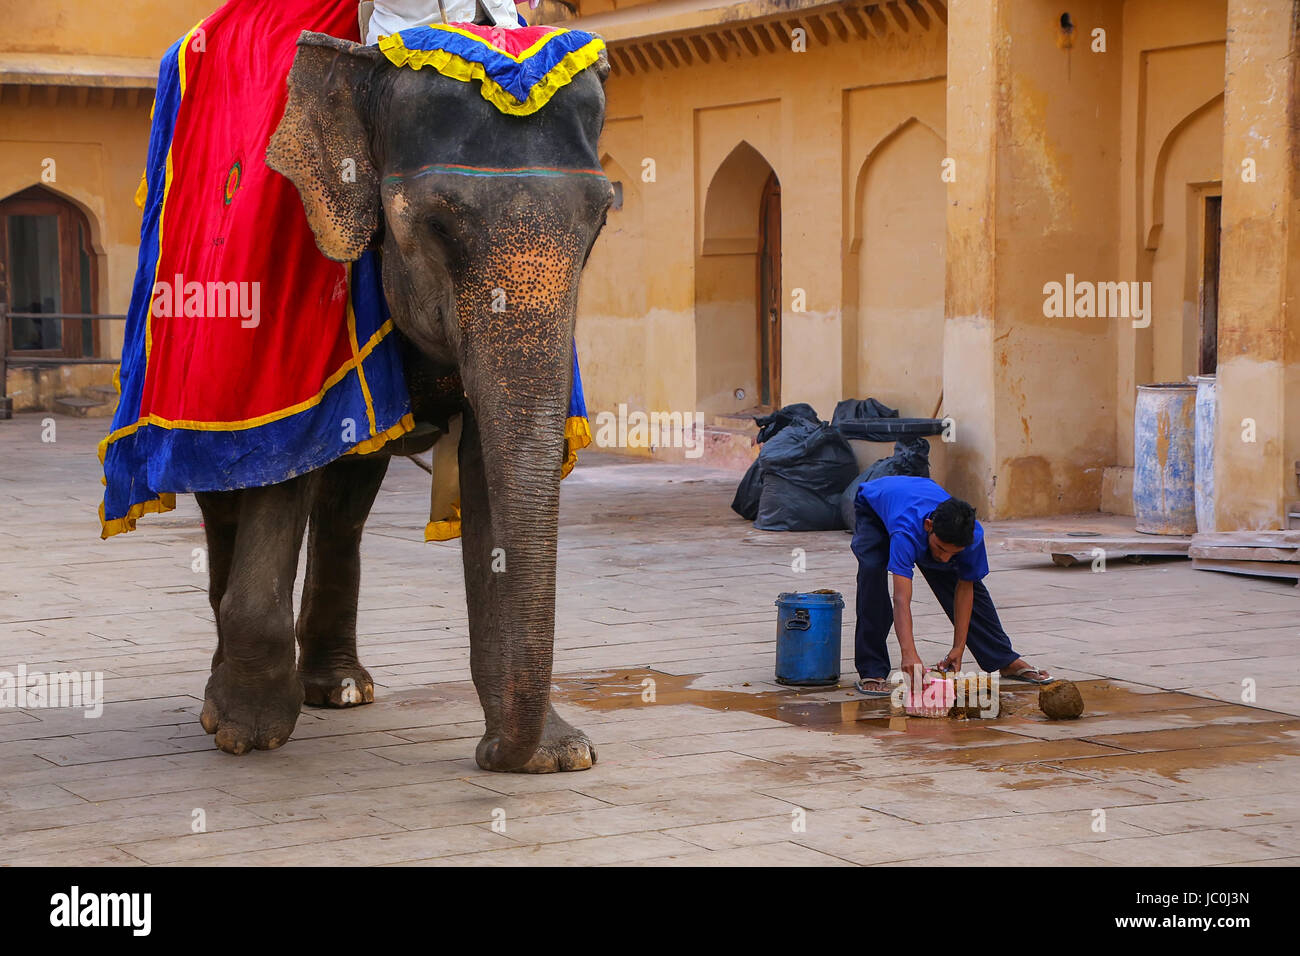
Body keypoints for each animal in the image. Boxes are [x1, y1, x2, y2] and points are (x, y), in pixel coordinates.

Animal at [192, 28, 613, 772]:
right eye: (439, 228)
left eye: (597, 226)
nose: (495, 754)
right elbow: (278, 473)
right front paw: (246, 733)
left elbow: (485, 468)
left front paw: (555, 757)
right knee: (226, 492)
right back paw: (234, 701)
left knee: (347, 498)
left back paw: (340, 690)